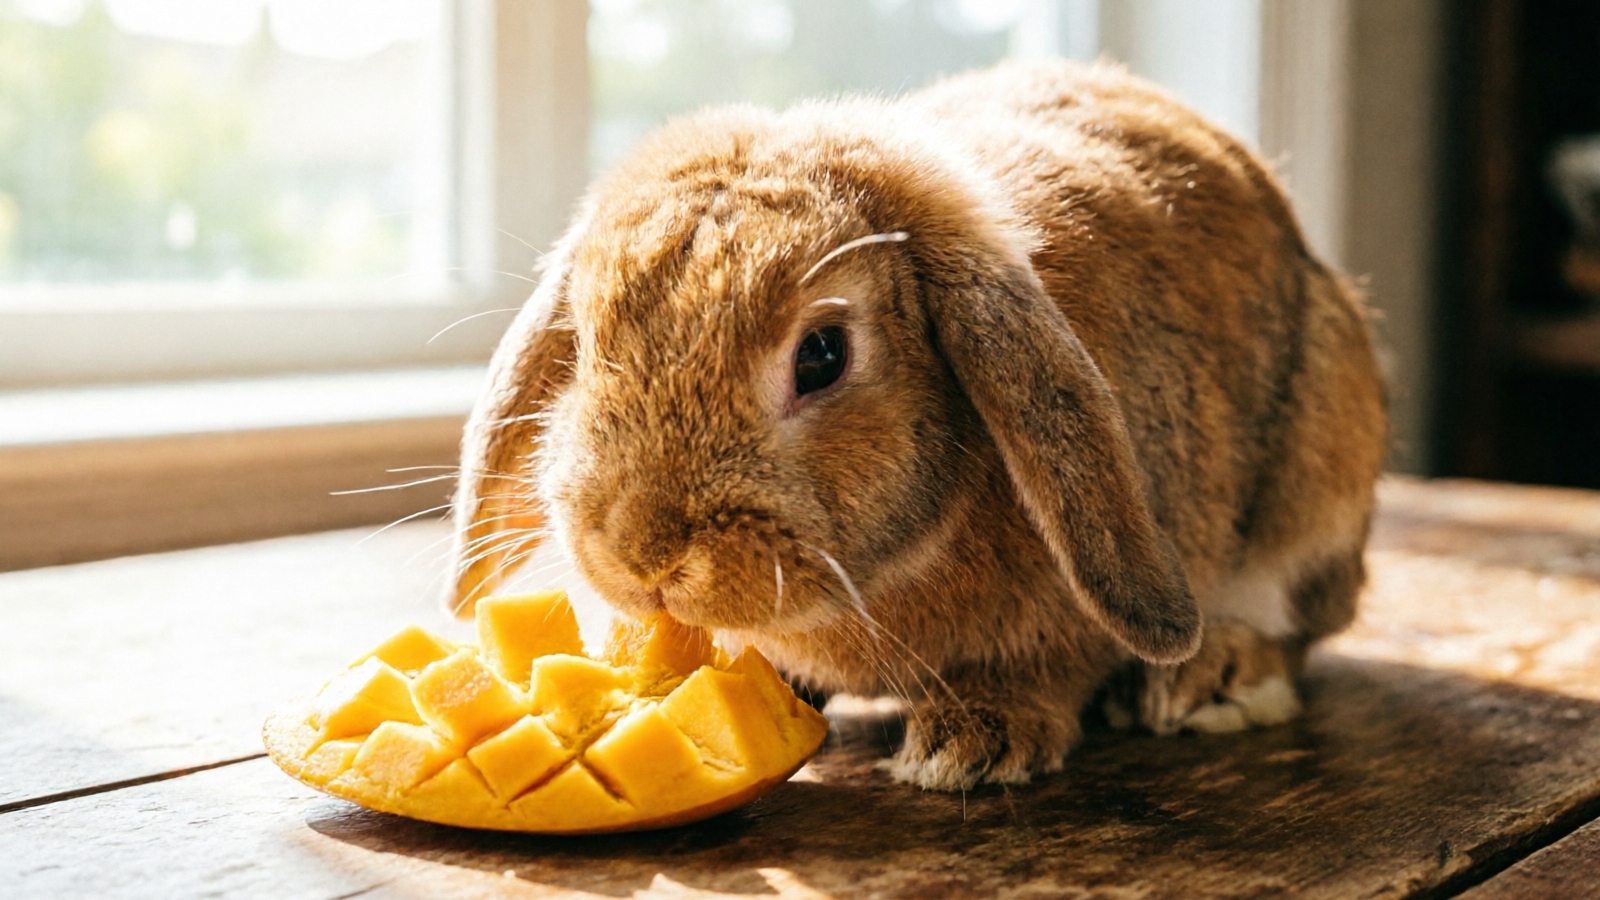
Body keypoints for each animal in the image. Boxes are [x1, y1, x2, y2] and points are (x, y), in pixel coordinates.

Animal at [446, 59, 1387, 791]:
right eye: (585, 339)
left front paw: (974, 743)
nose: (644, 556)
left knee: (1295, 629)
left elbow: (1049, 666)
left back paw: (1211, 679)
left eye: (822, 355)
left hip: (1318, 483)